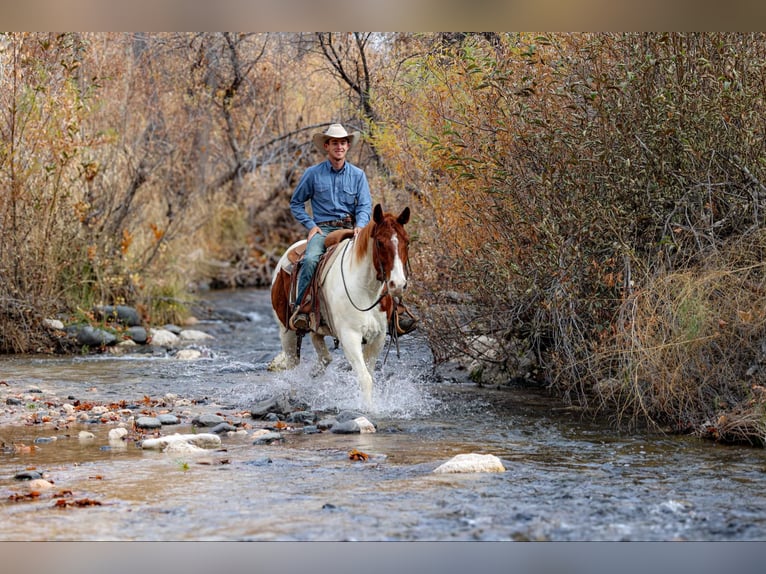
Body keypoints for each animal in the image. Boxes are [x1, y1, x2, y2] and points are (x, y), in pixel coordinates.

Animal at [269, 204, 411, 410]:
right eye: (379, 243)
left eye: (406, 242)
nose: (398, 284)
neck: (365, 290)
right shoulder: (350, 337)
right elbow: (365, 378)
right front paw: (368, 409)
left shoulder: (378, 338)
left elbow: (369, 375)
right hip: (287, 331)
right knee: (293, 364)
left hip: (317, 327)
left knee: (323, 356)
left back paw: (315, 373)